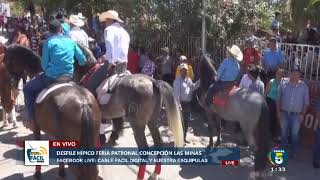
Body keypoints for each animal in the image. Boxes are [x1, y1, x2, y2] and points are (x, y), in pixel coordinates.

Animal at [0, 44, 101, 180]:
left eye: (6, 61)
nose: (12, 83)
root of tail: (83, 103)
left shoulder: (36, 129)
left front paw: (37, 173)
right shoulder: (58, 136)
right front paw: (61, 171)